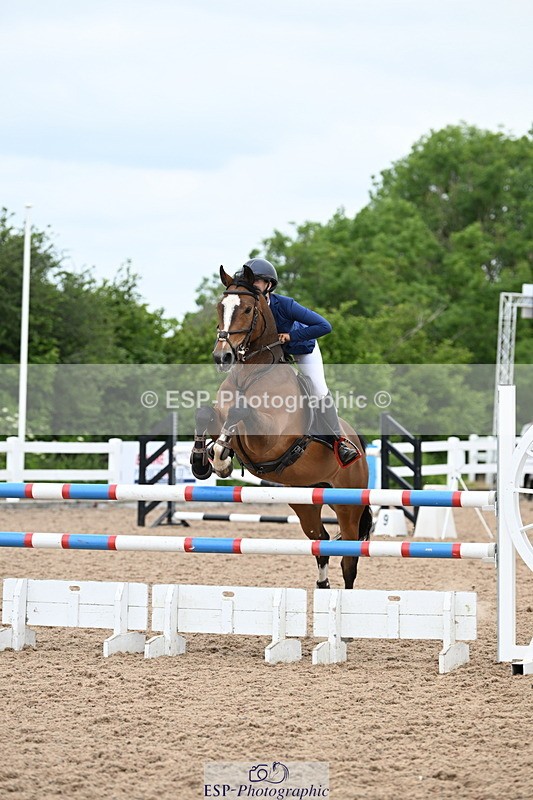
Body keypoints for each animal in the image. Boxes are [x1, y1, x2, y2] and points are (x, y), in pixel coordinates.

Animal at [190, 264, 372, 589]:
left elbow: (241, 412)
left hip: (349, 504)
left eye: (248, 309)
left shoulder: (270, 437)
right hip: (305, 499)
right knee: (320, 540)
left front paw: (221, 457)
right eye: (220, 307)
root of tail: (358, 444)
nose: (222, 356)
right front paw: (203, 461)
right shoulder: (219, 417)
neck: (252, 374)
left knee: (349, 558)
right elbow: (205, 414)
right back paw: (323, 586)